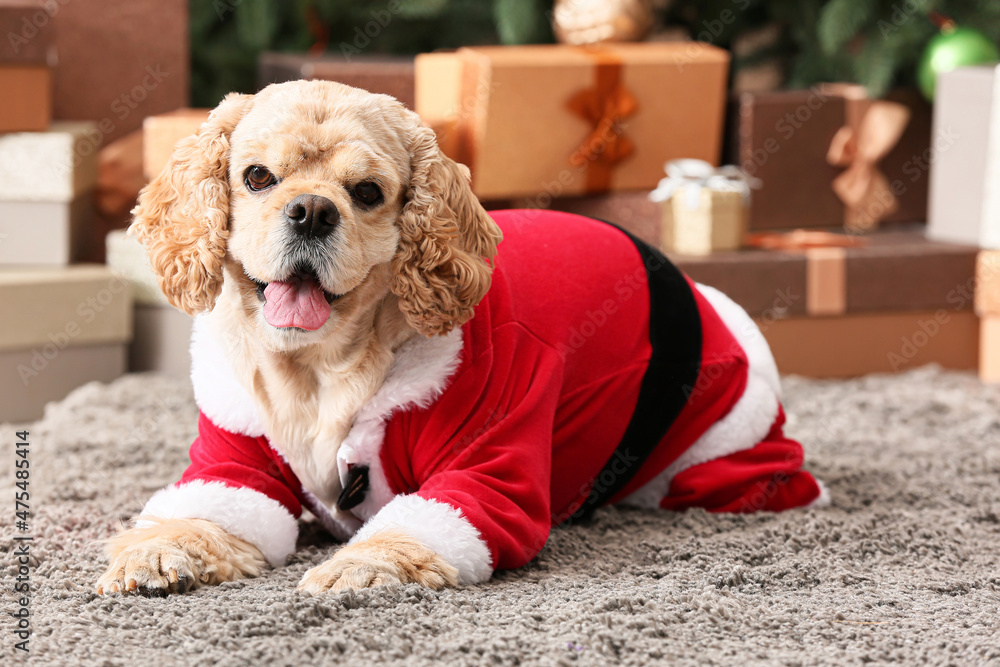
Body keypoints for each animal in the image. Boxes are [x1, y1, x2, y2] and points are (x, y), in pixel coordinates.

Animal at [95, 81, 828, 596]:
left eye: (368, 192)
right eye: (256, 177)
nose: (310, 210)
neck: (322, 370)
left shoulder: (487, 464)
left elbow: (421, 525)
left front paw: (360, 568)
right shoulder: (232, 461)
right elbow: (208, 511)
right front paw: (160, 549)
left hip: (722, 456)